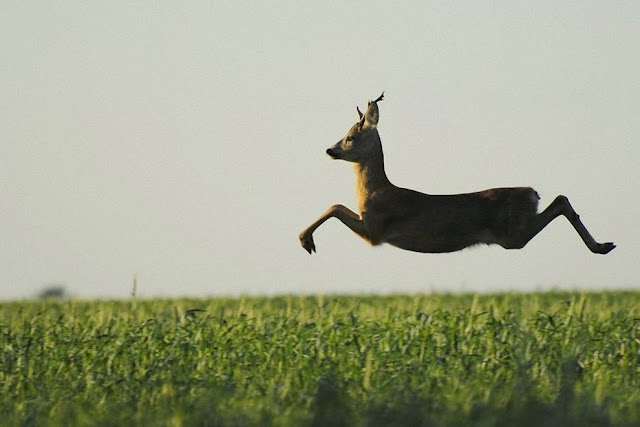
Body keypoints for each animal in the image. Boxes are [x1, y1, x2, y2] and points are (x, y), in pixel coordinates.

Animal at [298, 92, 616, 256]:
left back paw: (601, 246)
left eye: (350, 137)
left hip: (512, 234)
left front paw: (306, 240)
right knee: (559, 199)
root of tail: (531, 193)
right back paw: (604, 244)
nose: (330, 150)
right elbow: (336, 206)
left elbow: (335, 206)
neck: (374, 191)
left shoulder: (374, 230)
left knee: (559, 201)